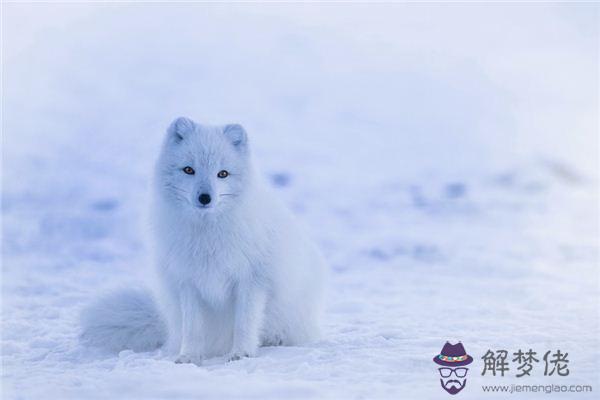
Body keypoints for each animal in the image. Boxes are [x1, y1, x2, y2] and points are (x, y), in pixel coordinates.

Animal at [79, 117, 326, 364]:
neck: (207, 236)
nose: (205, 198)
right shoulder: (187, 281)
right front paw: (189, 356)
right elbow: (193, 328)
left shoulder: (252, 279)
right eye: (189, 170)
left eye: (223, 174)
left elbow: (244, 323)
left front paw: (241, 353)